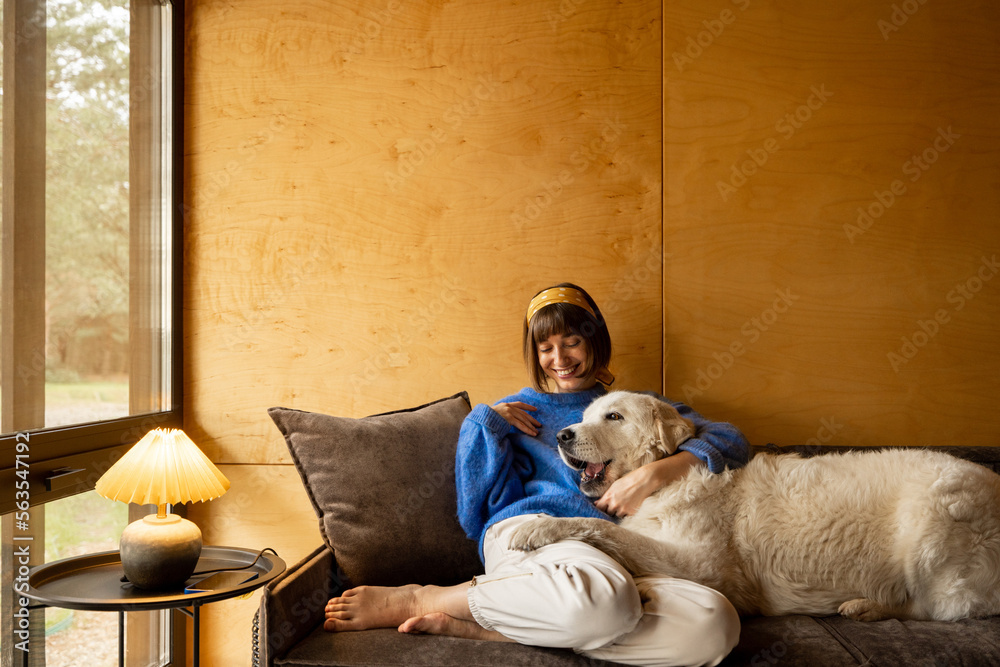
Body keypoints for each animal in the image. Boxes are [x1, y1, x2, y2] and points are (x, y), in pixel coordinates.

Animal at [512, 392, 1000, 620]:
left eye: (613, 417)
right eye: (585, 416)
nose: (563, 436)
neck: (664, 481)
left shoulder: (704, 566)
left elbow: (606, 529)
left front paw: (537, 527)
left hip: (930, 525)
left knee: (936, 608)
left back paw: (868, 607)